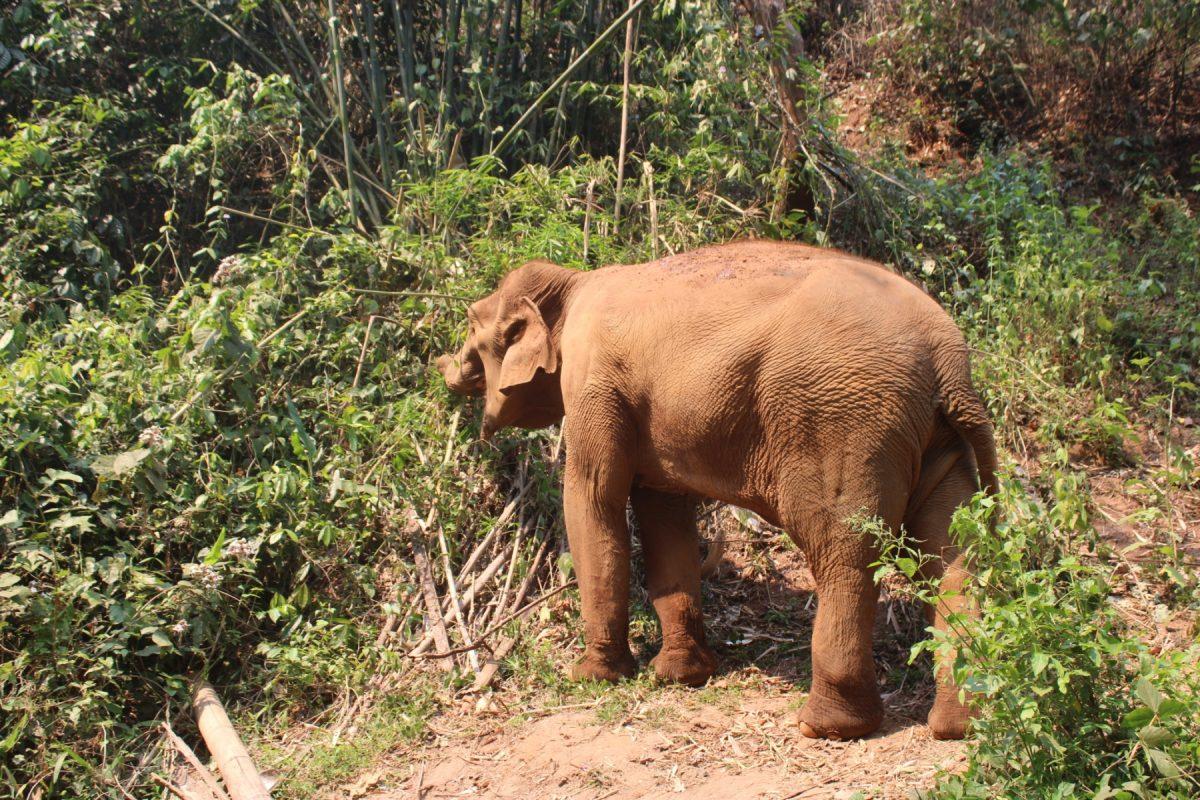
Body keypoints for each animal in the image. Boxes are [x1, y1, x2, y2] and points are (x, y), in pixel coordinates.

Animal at [436, 240, 997, 741]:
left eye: (470, 323)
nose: (443, 366)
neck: (573, 283)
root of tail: (947, 358)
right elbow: (664, 515)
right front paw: (680, 675)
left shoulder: (593, 382)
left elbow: (593, 499)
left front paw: (592, 676)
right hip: (931, 436)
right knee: (951, 554)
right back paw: (961, 726)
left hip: (845, 423)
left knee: (844, 552)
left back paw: (827, 727)